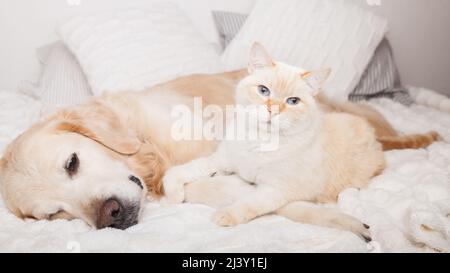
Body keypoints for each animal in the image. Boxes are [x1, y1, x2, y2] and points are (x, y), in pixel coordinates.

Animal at [163, 42, 384, 240]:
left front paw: (227, 215)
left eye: (293, 101)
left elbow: (249, 204)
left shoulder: (276, 190)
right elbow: (180, 171)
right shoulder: (221, 160)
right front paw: (174, 195)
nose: (273, 110)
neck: (259, 139)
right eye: (263, 90)